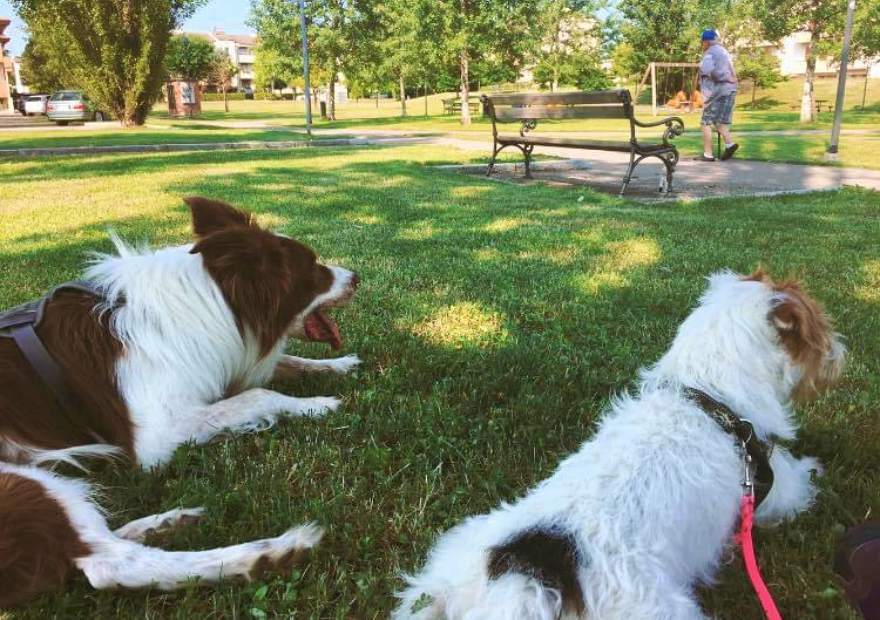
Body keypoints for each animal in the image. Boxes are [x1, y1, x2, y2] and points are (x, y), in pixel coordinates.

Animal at [0, 197, 360, 604]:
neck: (216, 302)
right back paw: (270, 553)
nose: (357, 277)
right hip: (19, 478)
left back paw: (164, 524)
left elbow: (285, 365)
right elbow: (259, 394)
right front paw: (317, 405)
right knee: (108, 564)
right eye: (314, 267)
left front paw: (338, 366)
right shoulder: (155, 437)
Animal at [394, 270, 844, 620]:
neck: (705, 392)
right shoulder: (770, 486)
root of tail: (526, 578)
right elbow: (803, 479)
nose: (841, 353)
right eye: (820, 323)